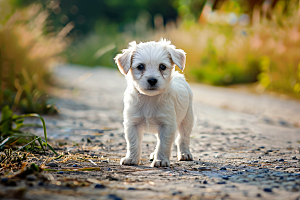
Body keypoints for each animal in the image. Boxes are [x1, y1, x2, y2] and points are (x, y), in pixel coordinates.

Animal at [113, 39, 193, 167]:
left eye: (162, 66)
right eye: (140, 66)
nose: (152, 80)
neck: (149, 99)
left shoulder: (167, 125)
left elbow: (163, 145)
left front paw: (160, 160)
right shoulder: (132, 123)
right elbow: (133, 143)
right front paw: (131, 158)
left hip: (187, 119)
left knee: (183, 138)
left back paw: (185, 153)